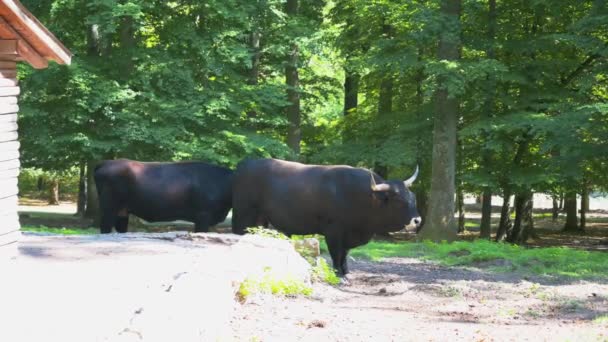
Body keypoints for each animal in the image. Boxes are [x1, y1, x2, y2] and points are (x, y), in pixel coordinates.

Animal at [230, 160, 420, 276]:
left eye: (413, 196)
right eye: (399, 200)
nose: (417, 220)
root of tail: (246, 164)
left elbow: (344, 254)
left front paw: (346, 271)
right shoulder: (334, 230)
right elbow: (336, 253)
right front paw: (338, 274)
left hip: (260, 221)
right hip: (243, 215)